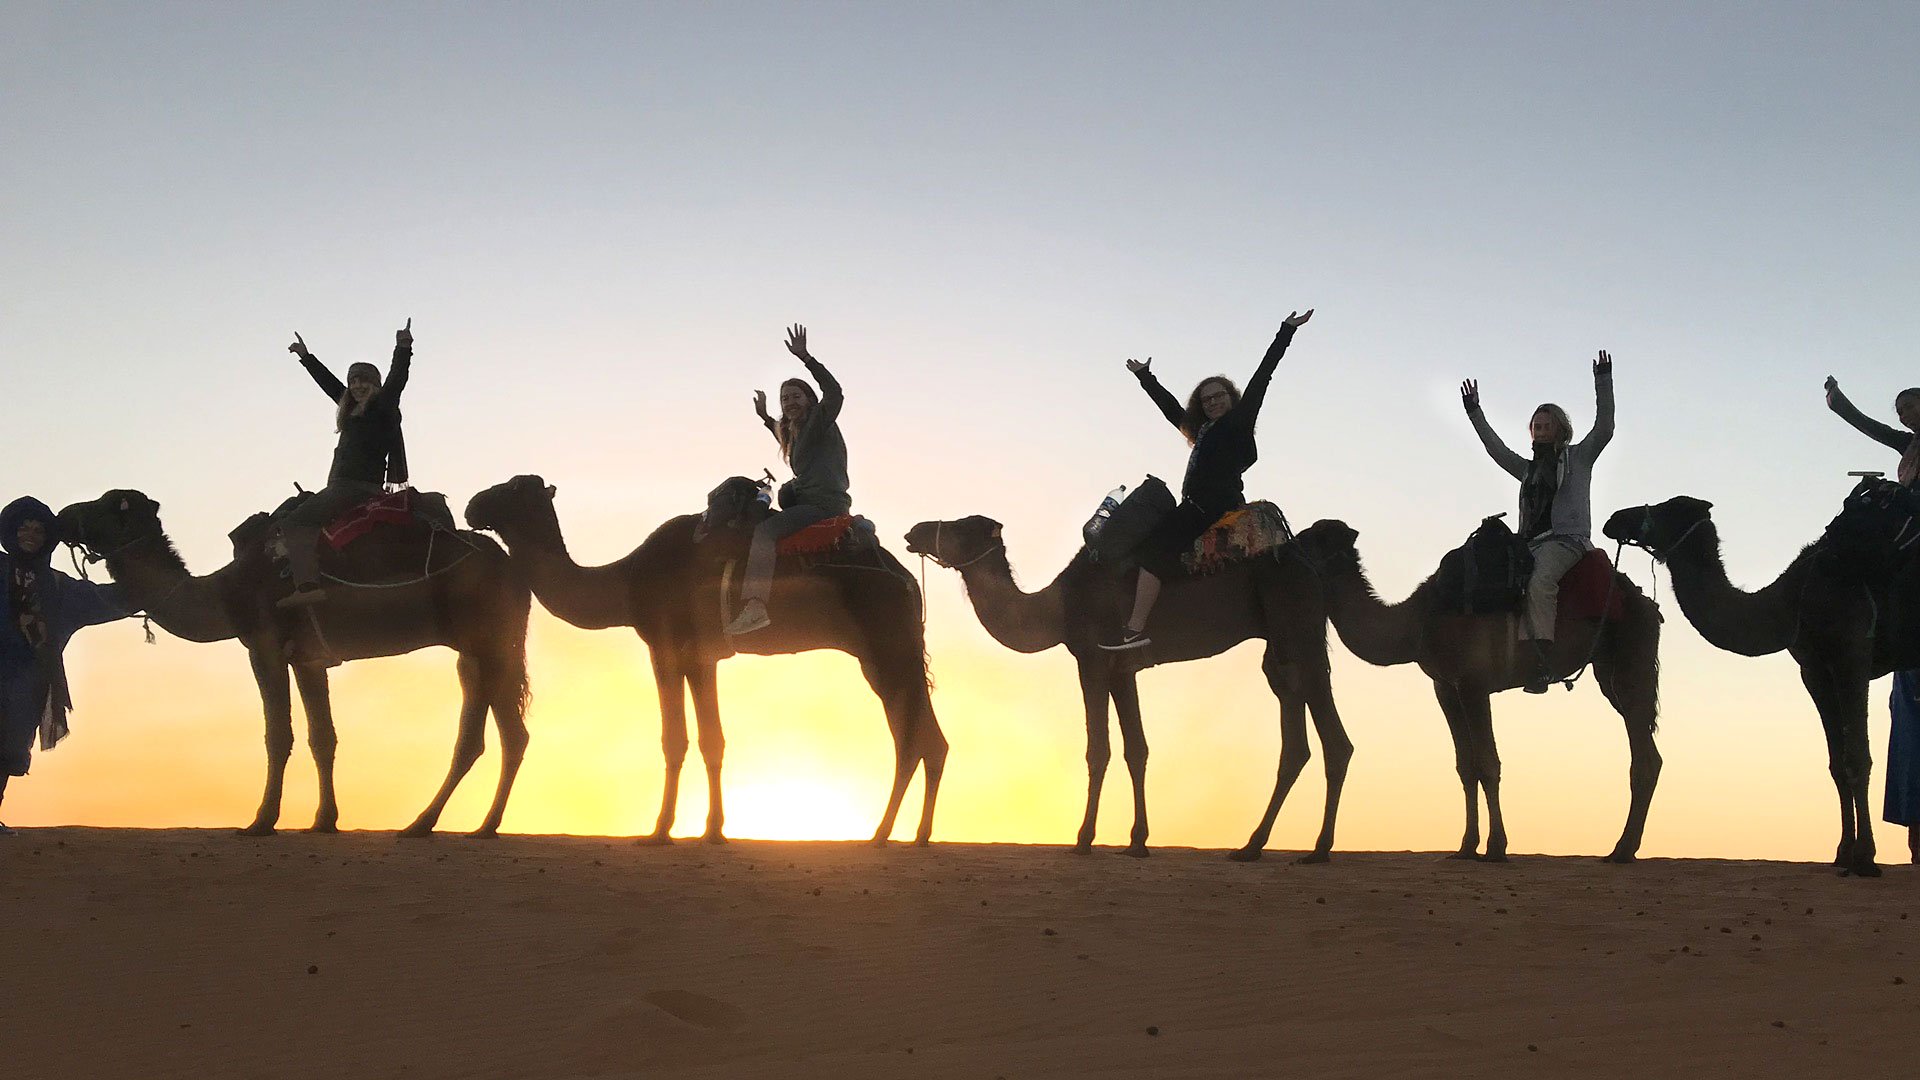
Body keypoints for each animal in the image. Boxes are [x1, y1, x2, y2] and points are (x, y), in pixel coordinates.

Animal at [60, 488, 529, 834]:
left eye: (108, 504)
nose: (64, 513)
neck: (224, 594)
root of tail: (509, 565)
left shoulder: (264, 645)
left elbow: (277, 735)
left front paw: (260, 822)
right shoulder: (308, 659)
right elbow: (322, 737)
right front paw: (324, 821)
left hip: (484, 634)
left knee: (475, 739)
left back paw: (421, 825)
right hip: (485, 647)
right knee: (512, 733)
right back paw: (483, 827)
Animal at [464, 476, 944, 841]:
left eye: (514, 487)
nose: (471, 505)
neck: (627, 580)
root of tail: (907, 581)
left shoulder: (665, 644)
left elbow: (676, 738)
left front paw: (660, 831)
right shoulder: (702, 656)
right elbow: (712, 739)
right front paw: (712, 830)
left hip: (888, 643)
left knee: (910, 738)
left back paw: (883, 834)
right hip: (881, 656)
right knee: (924, 737)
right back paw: (912, 835)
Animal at [902, 511, 1344, 857]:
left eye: (962, 526)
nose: (914, 531)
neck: (1059, 606)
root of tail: (1311, 569)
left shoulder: (1092, 658)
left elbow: (1098, 749)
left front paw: (1083, 839)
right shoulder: (1121, 669)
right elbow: (1137, 749)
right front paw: (1138, 841)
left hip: (1297, 626)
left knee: (1333, 739)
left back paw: (1315, 849)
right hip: (1285, 642)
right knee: (1297, 734)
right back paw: (1255, 846)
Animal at [1290, 518, 1666, 860]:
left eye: (1311, 538)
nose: (1285, 549)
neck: (1417, 624)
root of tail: (1646, 602)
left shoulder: (1474, 684)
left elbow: (1488, 763)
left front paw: (1496, 848)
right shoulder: (1445, 687)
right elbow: (1466, 765)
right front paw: (1466, 847)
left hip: (1633, 657)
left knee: (1644, 756)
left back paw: (1622, 850)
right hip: (1609, 667)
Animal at [1605, 495, 1904, 876]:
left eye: (1669, 508)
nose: (1615, 519)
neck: (1792, 598)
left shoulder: (1851, 654)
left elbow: (1857, 759)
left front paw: (1865, 858)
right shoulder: (1814, 669)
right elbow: (1837, 763)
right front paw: (1843, 854)